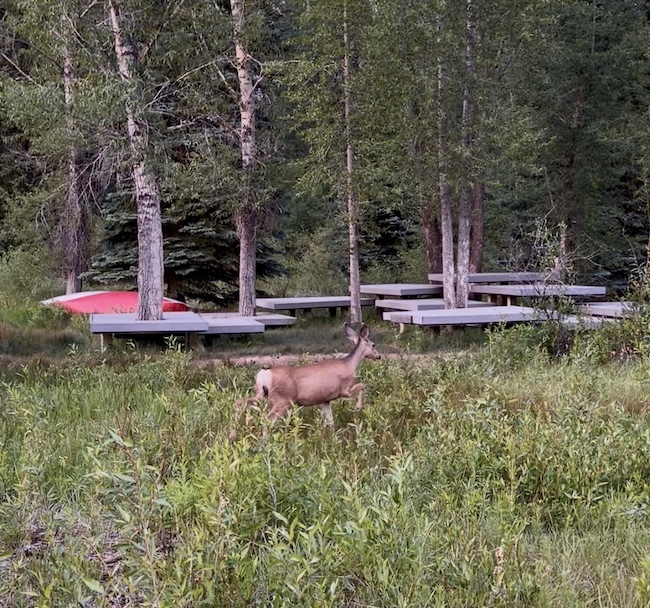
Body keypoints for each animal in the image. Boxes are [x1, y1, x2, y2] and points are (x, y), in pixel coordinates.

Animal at [229, 324, 381, 441]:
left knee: (240, 402)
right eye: (373, 344)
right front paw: (358, 407)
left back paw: (233, 435)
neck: (350, 365)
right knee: (267, 418)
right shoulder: (345, 389)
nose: (378, 356)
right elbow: (363, 385)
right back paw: (265, 441)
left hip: (261, 394)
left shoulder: (325, 399)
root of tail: (264, 374)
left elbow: (330, 421)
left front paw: (333, 439)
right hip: (283, 399)